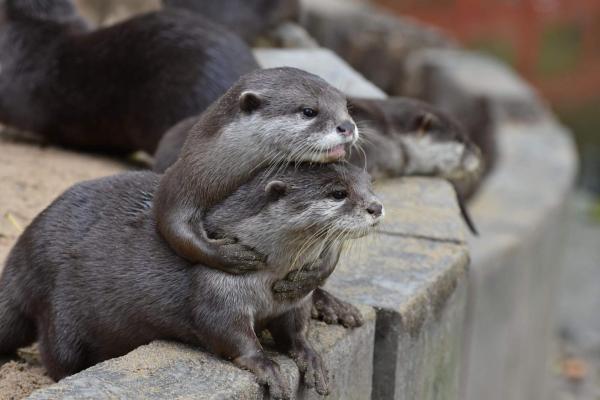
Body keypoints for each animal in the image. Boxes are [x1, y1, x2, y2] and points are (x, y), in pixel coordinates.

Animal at [0, 162, 382, 396]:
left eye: (369, 185)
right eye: (337, 193)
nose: (376, 207)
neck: (266, 282)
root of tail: (24, 254)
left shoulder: (294, 298)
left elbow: (296, 331)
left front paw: (312, 358)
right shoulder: (216, 288)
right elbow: (227, 333)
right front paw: (267, 366)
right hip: (61, 312)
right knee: (57, 356)